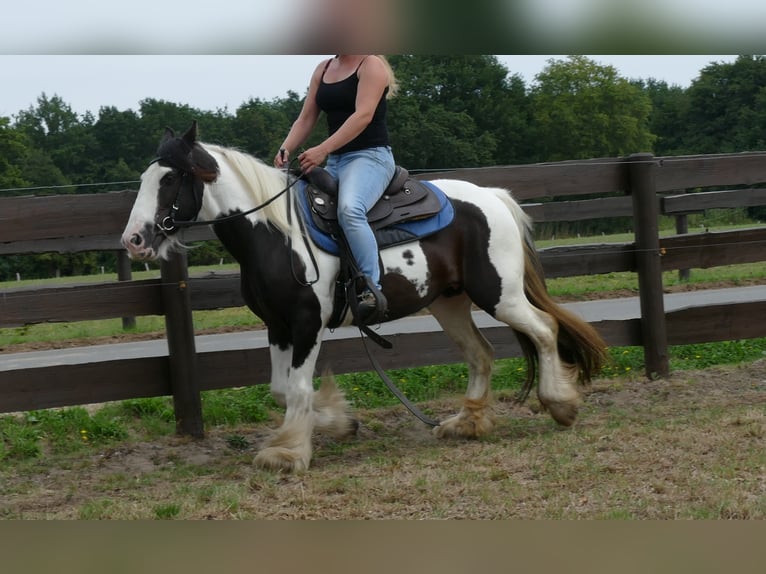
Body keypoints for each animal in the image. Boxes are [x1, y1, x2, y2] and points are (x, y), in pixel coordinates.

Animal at [123, 124, 608, 474]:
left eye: (170, 178)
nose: (134, 240)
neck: (278, 234)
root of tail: (492, 197)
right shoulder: (277, 325)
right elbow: (281, 389)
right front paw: (340, 423)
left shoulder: (306, 324)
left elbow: (296, 387)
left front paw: (289, 454)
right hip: (449, 302)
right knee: (481, 352)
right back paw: (466, 422)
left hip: (498, 295)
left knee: (544, 329)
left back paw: (560, 405)